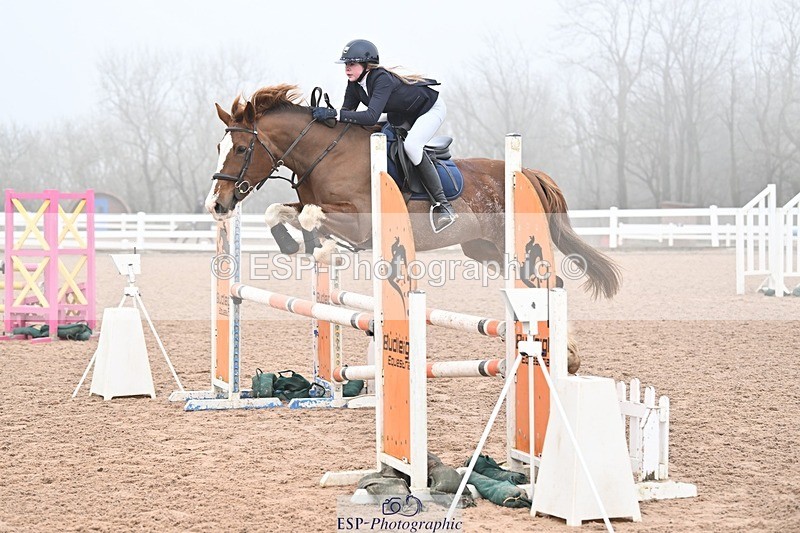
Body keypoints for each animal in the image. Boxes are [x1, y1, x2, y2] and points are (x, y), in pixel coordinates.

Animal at [206, 84, 620, 299]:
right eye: (219, 146)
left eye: (240, 149)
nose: (217, 205)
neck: (325, 154)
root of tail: (528, 174)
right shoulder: (317, 203)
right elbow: (279, 211)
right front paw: (297, 245)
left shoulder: (361, 221)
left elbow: (310, 216)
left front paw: (320, 248)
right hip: (484, 248)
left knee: (552, 283)